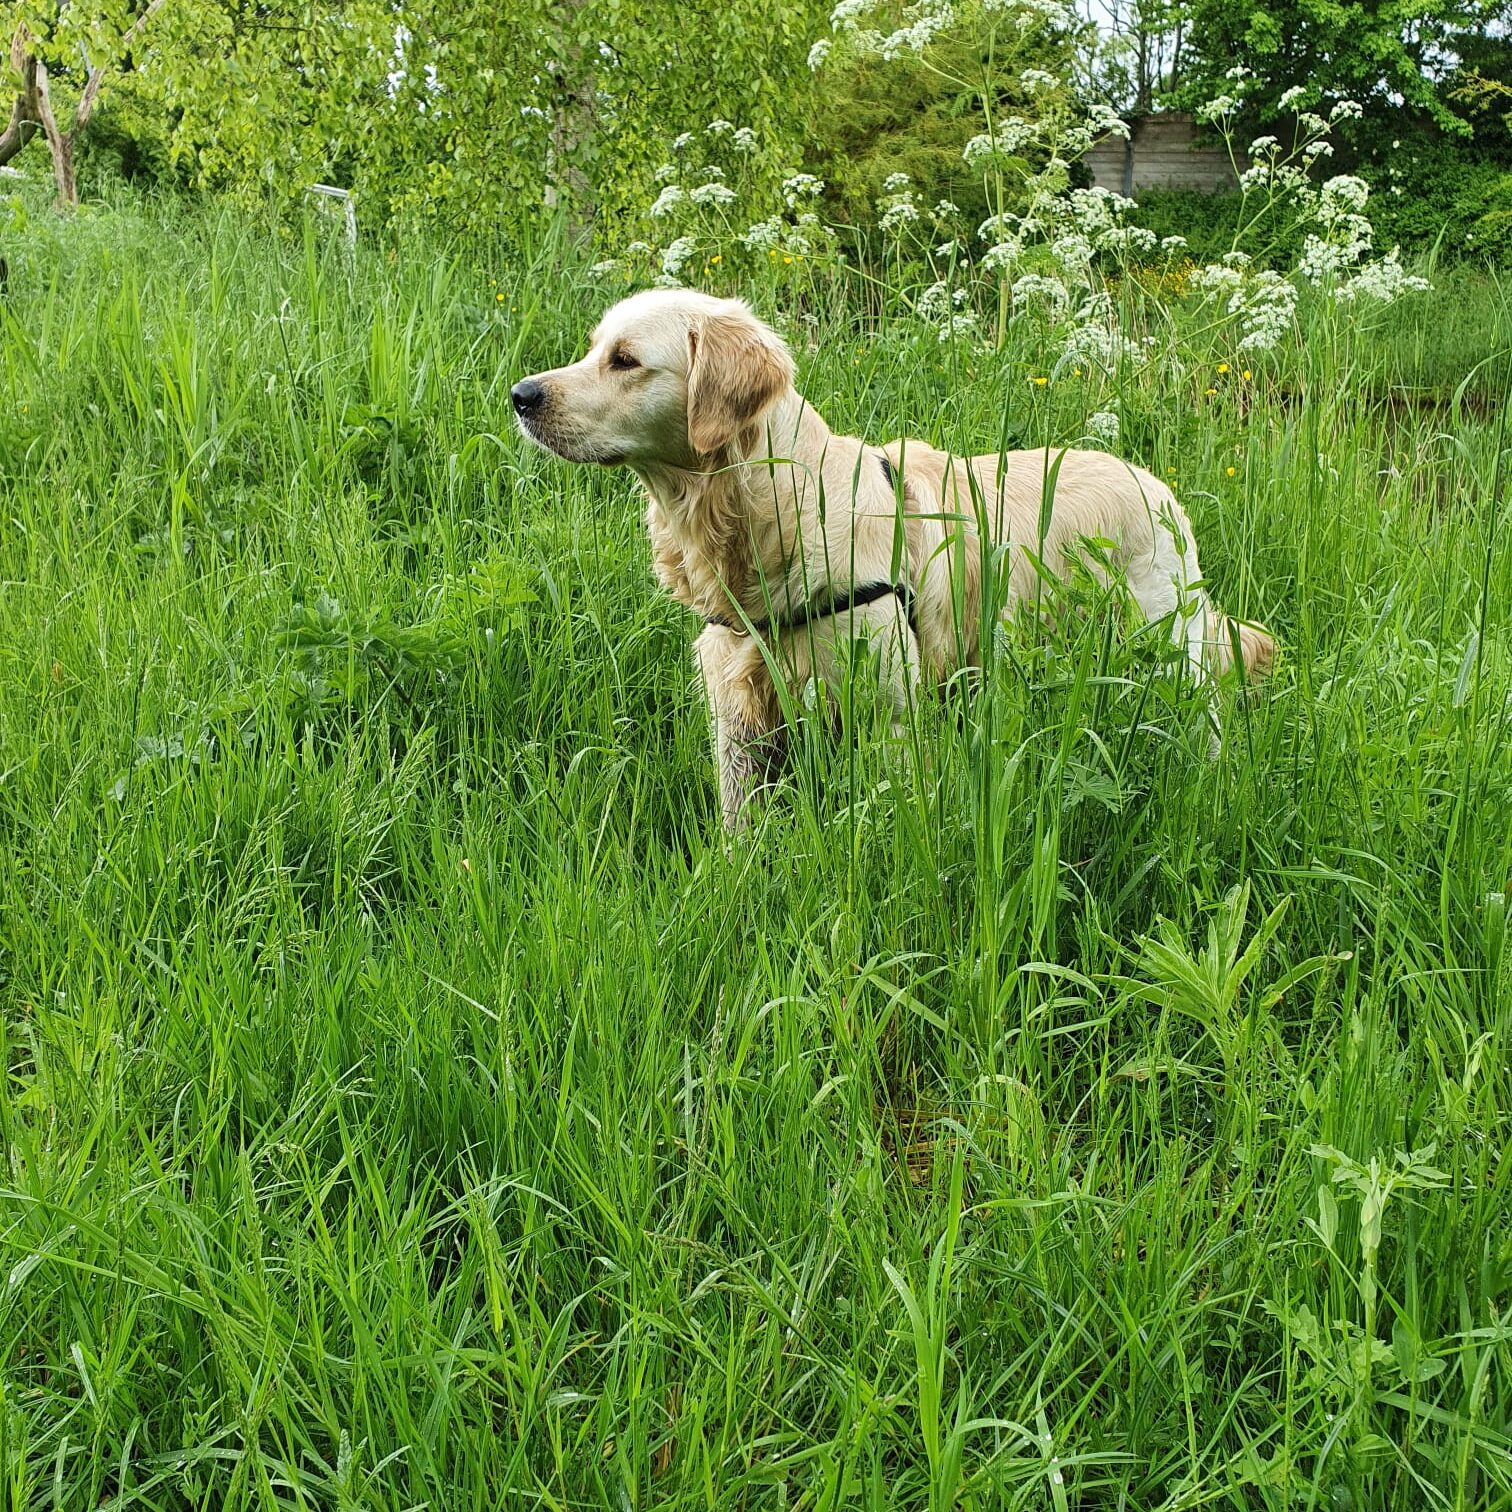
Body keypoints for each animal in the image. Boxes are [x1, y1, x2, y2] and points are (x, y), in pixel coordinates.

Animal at [514, 288, 1270, 834]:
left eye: (625, 359)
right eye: (593, 349)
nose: (521, 396)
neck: (765, 508)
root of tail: (1157, 485)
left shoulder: (888, 716)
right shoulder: (739, 717)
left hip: (1170, 649)